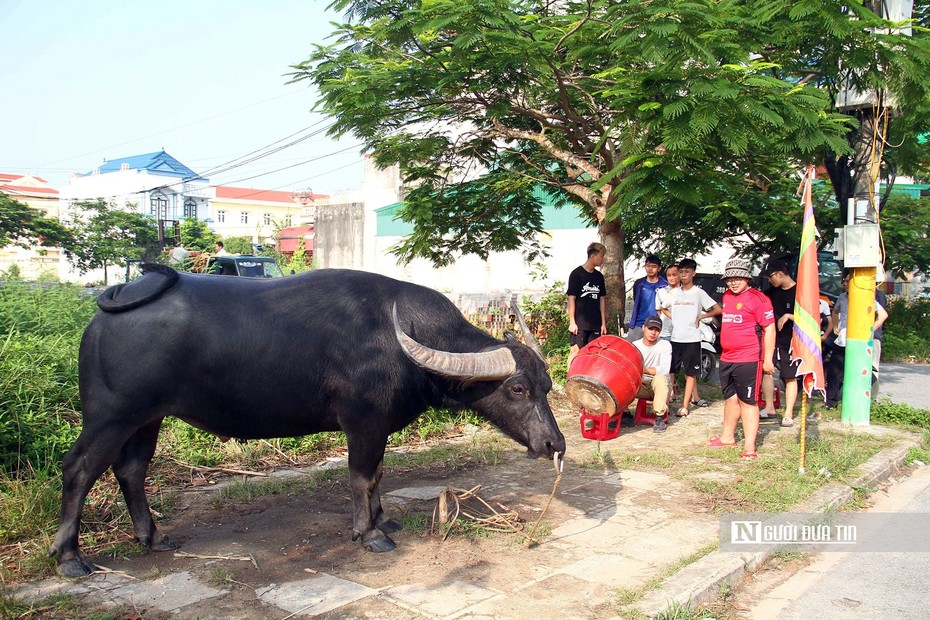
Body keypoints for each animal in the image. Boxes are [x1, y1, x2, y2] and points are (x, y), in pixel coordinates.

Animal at [50, 264, 564, 580]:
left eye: (547, 385)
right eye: (517, 389)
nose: (555, 444)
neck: (402, 340)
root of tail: (113, 305)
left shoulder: (377, 428)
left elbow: (380, 474)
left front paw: (383, 518)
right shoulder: (363, 423)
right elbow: (362, 476)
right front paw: (369, 533)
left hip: (147, 418)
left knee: (131, 470)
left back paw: (153, 537)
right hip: (110, 417)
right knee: (79, 468)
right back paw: (69, 556)